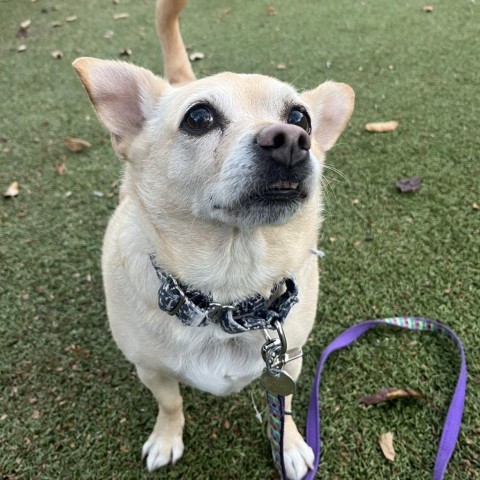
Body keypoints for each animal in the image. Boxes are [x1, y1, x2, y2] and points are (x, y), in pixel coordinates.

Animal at [72, 1, 352, 478]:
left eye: (301, 118)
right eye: (198, 117)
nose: (291, 140)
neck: (228, 293)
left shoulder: (289, 358)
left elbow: (284, 403)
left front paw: (290, 445)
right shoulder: (151, 371)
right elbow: (170, 403)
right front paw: (167, 438)